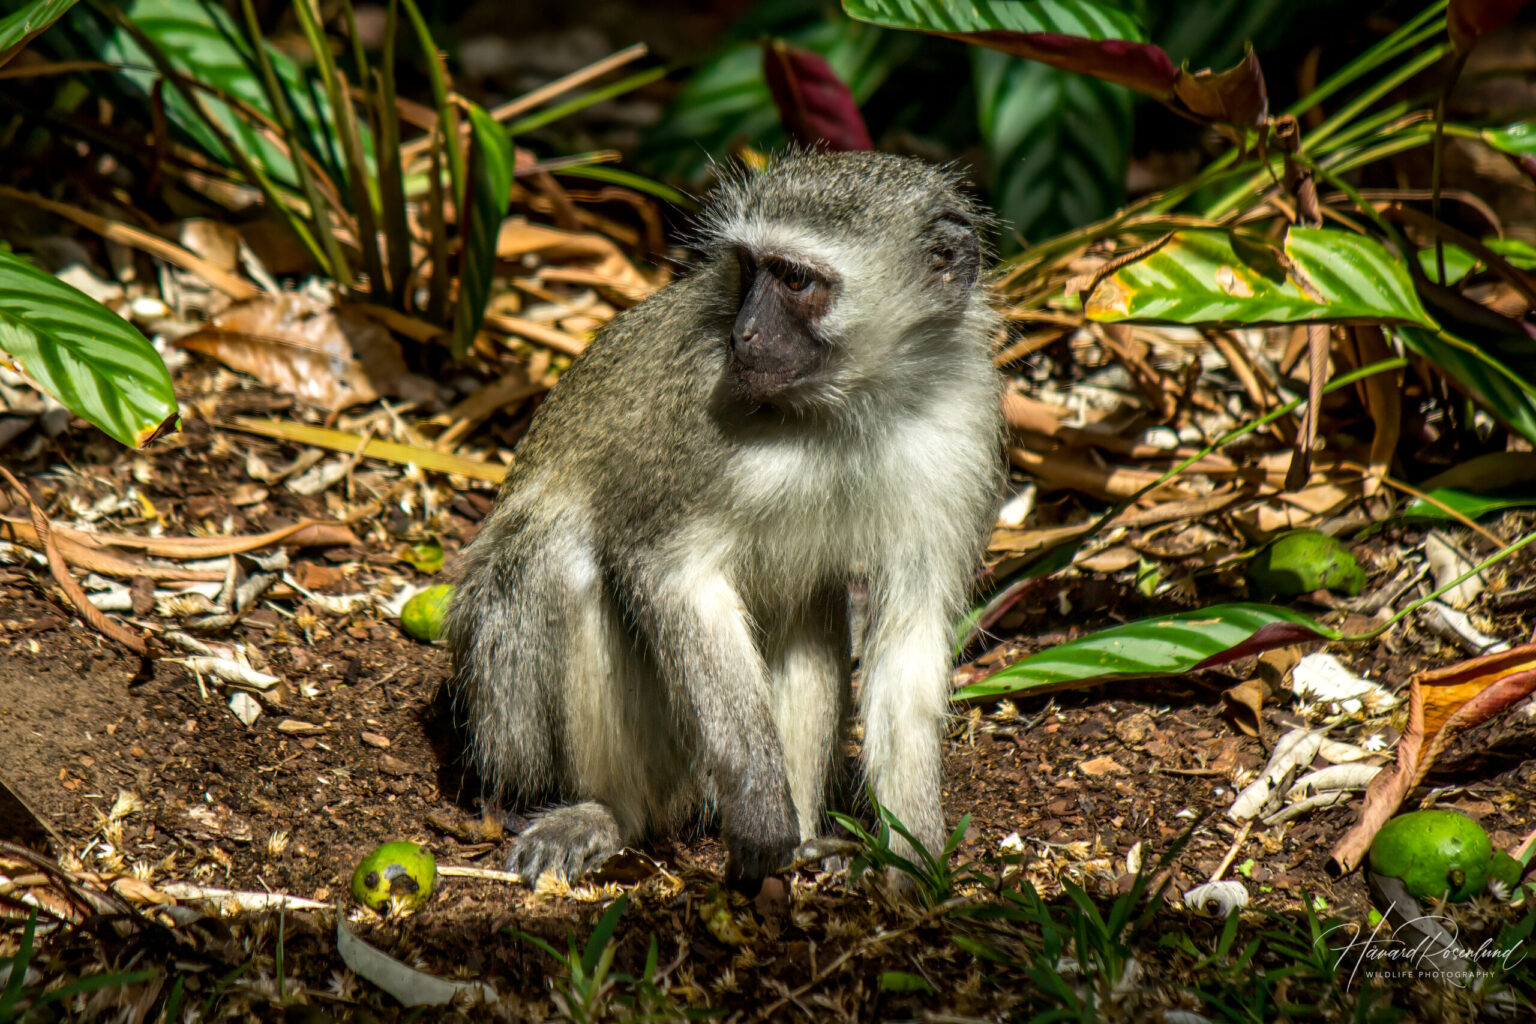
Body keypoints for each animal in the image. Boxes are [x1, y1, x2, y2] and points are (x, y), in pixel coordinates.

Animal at [445, 150, 1004, 893]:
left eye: (795, 280)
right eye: (747, 267)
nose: (743, 335)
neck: (849, 406)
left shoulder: (958, 430)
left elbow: (909, 637)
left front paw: (912, 869)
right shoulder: (699, 412)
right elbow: (665, 569)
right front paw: (764, 811)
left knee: (811, 611)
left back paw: (804, 840)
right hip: (520, 727)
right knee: (562, 559)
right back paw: (607, 811)